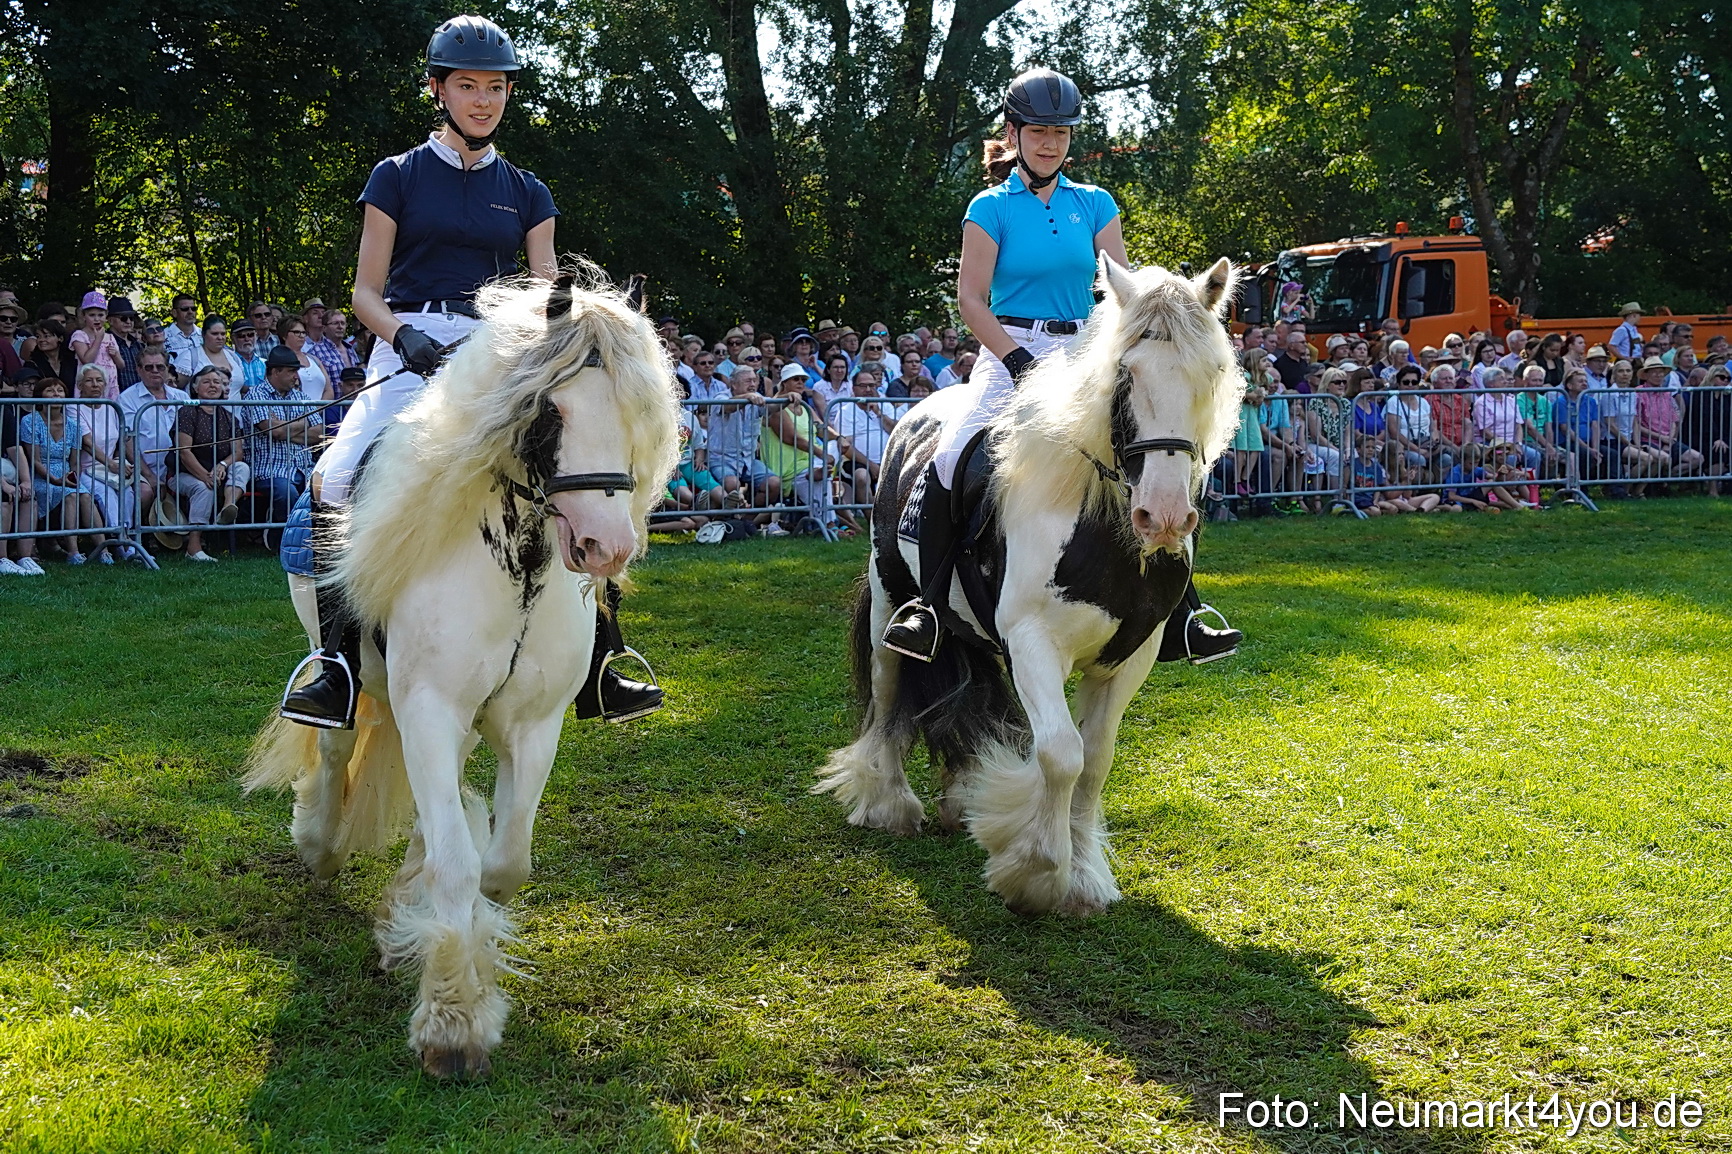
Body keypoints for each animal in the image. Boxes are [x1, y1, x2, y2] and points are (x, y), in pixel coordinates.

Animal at [242, 268, 679, 1078]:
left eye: (635, 412)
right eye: (549, 411)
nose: (605, 545)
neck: (517, 564)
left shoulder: (531, 724)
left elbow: (502, 862)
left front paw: (429, 938)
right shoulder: (430, 708)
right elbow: (457, 862)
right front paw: (452, 1020)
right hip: (353, 674)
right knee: (335, 747)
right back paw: (320, 844)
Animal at [814, 255, 1242, 916]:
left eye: (1213, 373)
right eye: (1125, 375)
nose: (1166, 517)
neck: (1099, 526)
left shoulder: (1132, 656)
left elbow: (1095, 760)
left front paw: (1084, 876)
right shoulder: (1034, 642)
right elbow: (1061, 753)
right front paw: (1035, 873)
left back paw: (959, 800)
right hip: (890, 600)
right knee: (888, 694)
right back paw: (887, 803)